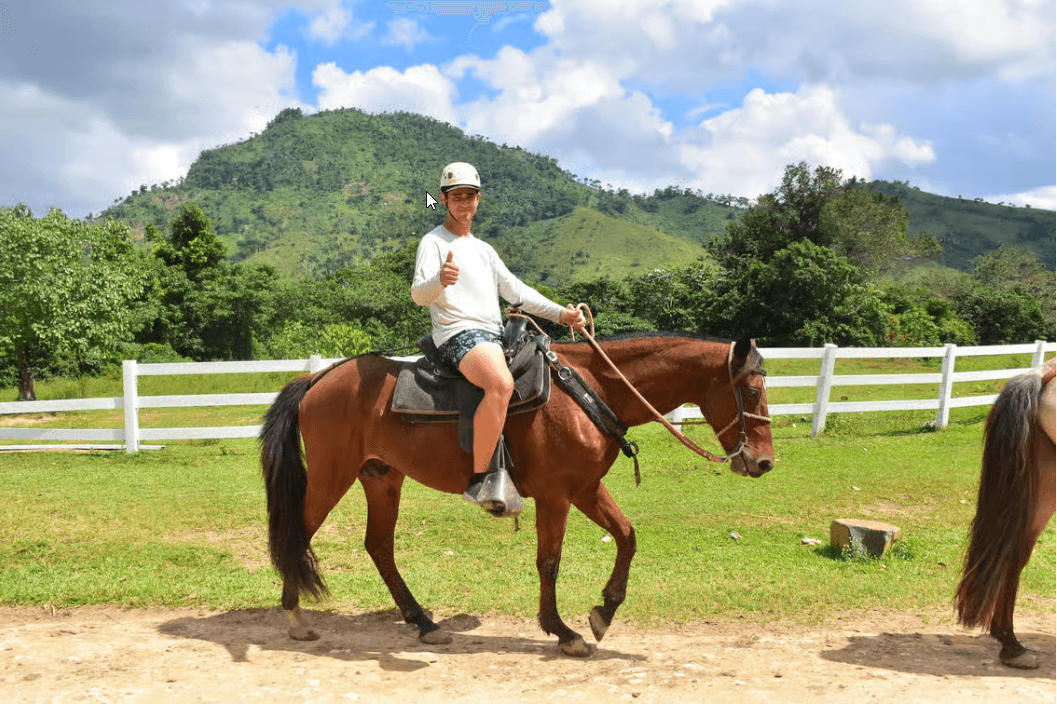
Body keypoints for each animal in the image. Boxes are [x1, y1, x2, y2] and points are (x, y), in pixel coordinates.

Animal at [260, 332, 774, 656]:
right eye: (751, 391)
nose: (765, 462)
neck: (587, 391)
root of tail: (318, 379)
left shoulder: (585, 489)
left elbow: (627, 536)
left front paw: (604, 611)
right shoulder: (556, 495)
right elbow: (549, 562)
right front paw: (562, 631)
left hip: (382, 478)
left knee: (379, 546)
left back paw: (423, 622)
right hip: (331, 477)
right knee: (297, 534)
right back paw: (295, 616)